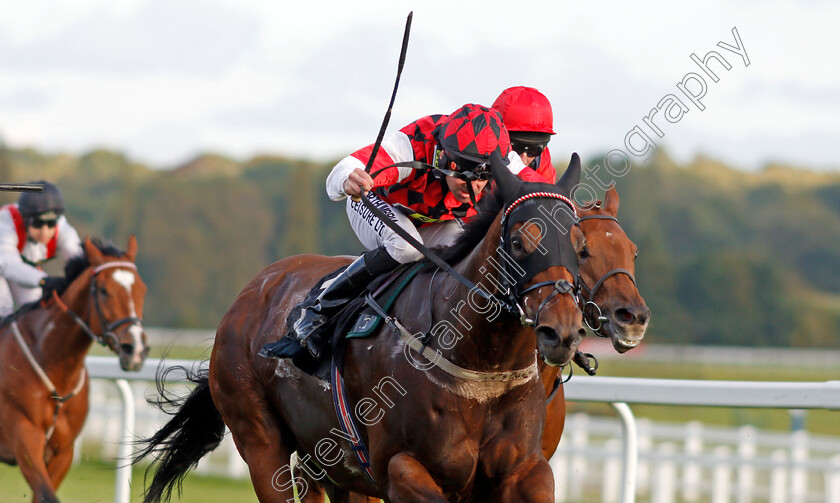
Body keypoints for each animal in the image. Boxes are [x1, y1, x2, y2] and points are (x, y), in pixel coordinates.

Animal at [138, 154, 592, 503]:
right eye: (518, 243)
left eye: (581, 246)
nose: (561, 331)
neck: (480, 368)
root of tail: (251, 292)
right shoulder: (397, 467)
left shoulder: (526, 470)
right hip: (260, 440)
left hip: (327, 461)